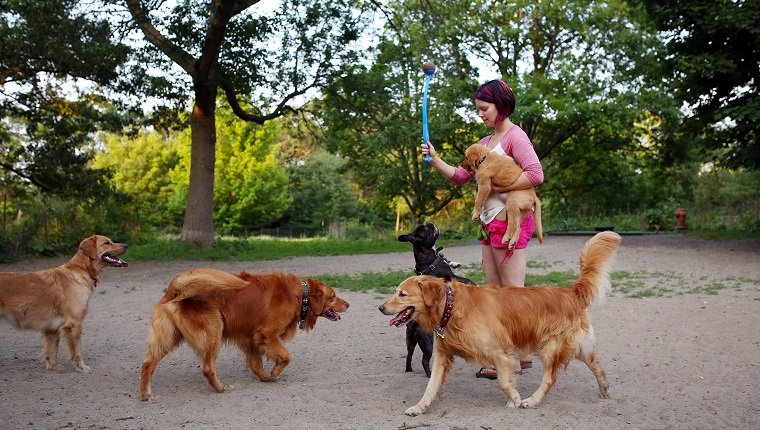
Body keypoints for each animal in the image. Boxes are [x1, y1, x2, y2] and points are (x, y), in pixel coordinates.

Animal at [0, 233, 127, 372]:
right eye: (107, 243)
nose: (126, 245)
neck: (81, 270)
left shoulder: (52, 327)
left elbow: (52, 349)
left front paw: (53, 366)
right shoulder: (74, 323)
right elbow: (77, 350)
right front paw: (81, 368)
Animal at [140, 268, 350, 400]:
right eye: (333, 296)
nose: (348, 304)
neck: (300, 294)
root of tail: (175, 288)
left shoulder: (252, 338)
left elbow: (256, 363)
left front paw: (265, 377)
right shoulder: (267, 334)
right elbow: (286, 356)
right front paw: (274, 372)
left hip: (168, 338)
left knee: (148, 363)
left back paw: (146, 394)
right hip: (213, 332)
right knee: (207, 369)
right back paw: (221, 388)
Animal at [398, 222, 476, 376]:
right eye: (426, 229)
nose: (429, 223)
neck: (428, 254)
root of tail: (413, 323)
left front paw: (455, 263)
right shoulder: (451, 277)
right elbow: (466, 280)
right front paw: (474, 284)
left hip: (410, 341)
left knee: (409, 355)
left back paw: (409, 369)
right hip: (428, 342)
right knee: (424, 360)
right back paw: (429, 375)